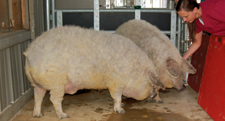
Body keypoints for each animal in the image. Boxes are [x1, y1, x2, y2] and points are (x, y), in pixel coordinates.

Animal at [23, 25, 164, 119]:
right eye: (152, 85)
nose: (155, 96)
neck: (134, 69)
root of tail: (30, 54)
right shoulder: (115, 82)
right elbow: (117, 97)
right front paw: (121, 110)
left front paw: (123, 105)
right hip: (56, 82)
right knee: (54, 99)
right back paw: (63, 115)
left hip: (37, 84)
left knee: (38, 97)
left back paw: (38, 115)